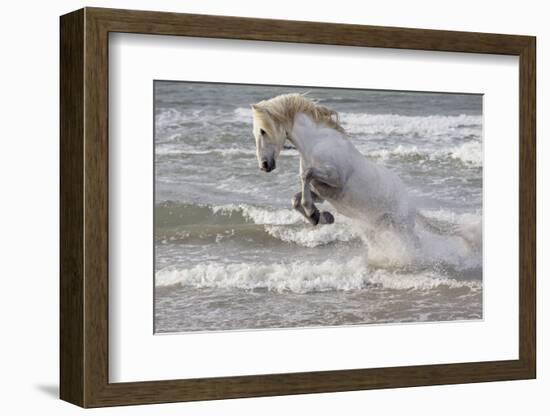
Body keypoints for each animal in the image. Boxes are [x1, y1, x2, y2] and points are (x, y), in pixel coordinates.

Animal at [252, 92, 416, 232]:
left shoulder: (336, 179)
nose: (264, 165)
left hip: (401, 225)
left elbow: (306, 174)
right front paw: (322, 217)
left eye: (263, 131)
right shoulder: (321, 192)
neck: (316, 144)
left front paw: (312, 213)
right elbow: (295, 199)